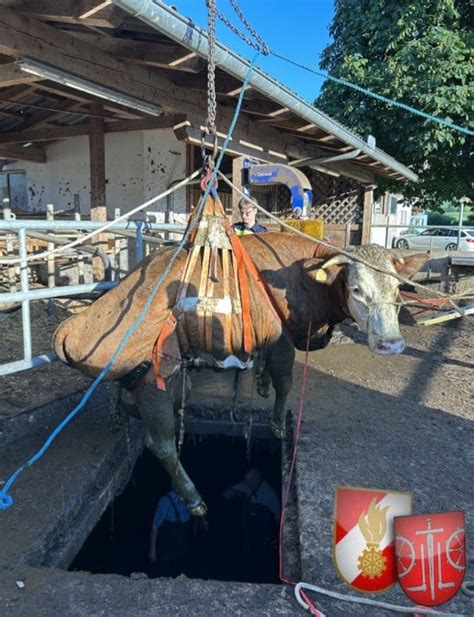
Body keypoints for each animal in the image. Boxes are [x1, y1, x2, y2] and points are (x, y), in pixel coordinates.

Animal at [52, 235, 426, 516]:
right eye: (357, 289)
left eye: (397, 288)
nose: (392, 344)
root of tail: (74, 327)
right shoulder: (280, 340)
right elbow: (285, 381)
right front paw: (278, 425)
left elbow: (265, 372)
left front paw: (260, 384)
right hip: (155, 382)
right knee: (161, 444)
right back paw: (194, 499)